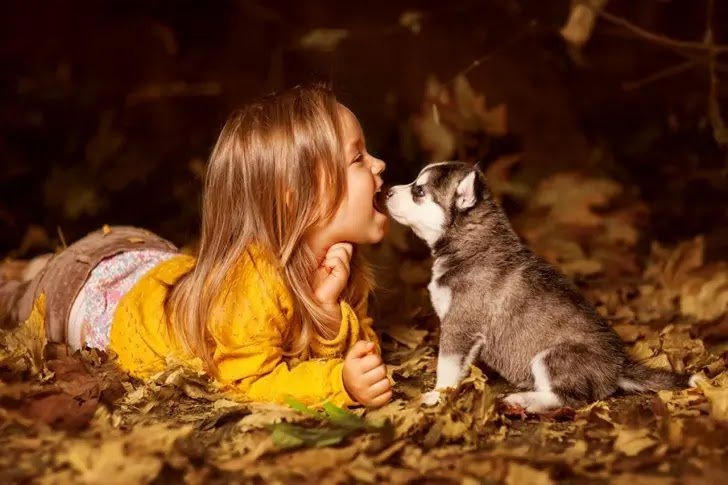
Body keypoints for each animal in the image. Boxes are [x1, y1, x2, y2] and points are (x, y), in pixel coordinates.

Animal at [384, 162, 696, 408]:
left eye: (419, 191)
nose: (386, 191)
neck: (472, 246)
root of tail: (619, 365)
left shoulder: (460, 323)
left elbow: (446, 364)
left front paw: (438, 394)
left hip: (551, 357)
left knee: (568, 398)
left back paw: (523, 400)